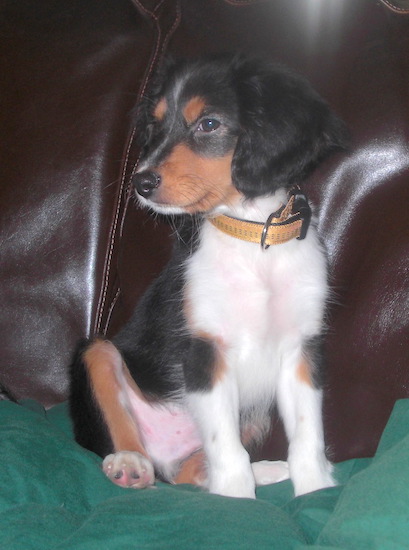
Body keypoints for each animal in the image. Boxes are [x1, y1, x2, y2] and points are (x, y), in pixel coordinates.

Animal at [69, 52, 344, 500]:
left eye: (209, 124)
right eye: (155, 126)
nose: (140, 182)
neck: (253, 238)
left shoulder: (300, 348)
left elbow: (309, 435)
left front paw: (316, 490)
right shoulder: (204, 348)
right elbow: (226, 451)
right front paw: (237, 501)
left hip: (253, 413)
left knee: (190, 472)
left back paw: (269, 469)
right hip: (96, 352)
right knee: (125, 434)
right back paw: (130, 464)